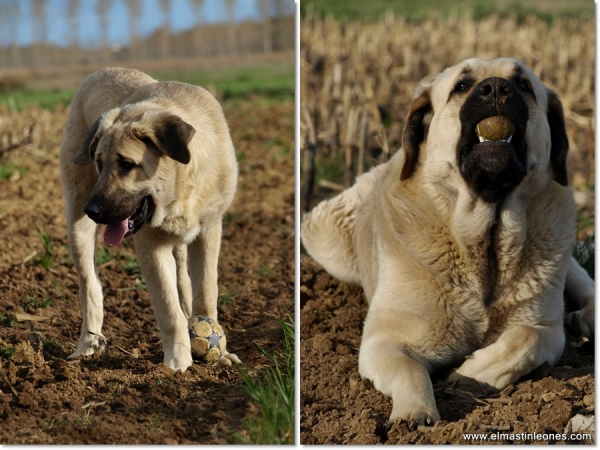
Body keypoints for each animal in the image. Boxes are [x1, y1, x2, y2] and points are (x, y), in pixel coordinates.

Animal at [60, 67, 239, 370]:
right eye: (99, 163)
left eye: (127, 165)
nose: (92, 211)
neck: (181, 190)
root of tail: (100, 72)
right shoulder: (150, 244)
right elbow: (169, 309)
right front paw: (177, 363)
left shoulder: (209, 230)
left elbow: (206, 292)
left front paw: (216, 347)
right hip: (77, 222)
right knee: (90, 287)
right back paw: (87, 345)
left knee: (184, 282)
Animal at [302, 59, 592, 426]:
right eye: (462, 86)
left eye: (523, 85)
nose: (496, 88)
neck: (484, 243)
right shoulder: (384, 340)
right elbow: (409, 368)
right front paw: (414, 413)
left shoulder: (547, 329)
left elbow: (525, 338)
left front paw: (470, 373)